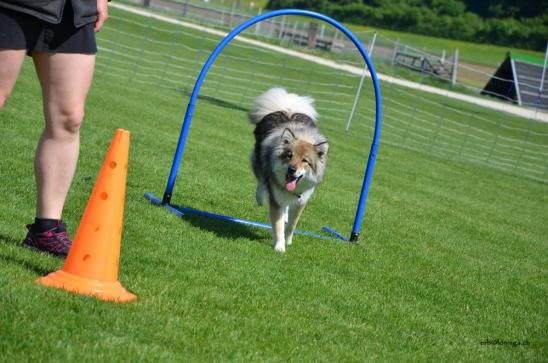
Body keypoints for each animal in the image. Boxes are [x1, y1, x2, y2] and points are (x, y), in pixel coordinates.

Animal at [249, 88, 330, 253]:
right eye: (289, 156)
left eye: (305, 161)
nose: (292, 169)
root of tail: (287, 109)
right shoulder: (276, 199)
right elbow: (278, 225)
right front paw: (280, 247)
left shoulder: (301, 201)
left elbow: (292, 224)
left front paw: (288, 240)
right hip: (259, 161)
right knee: (261, 180)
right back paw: (260, 197)